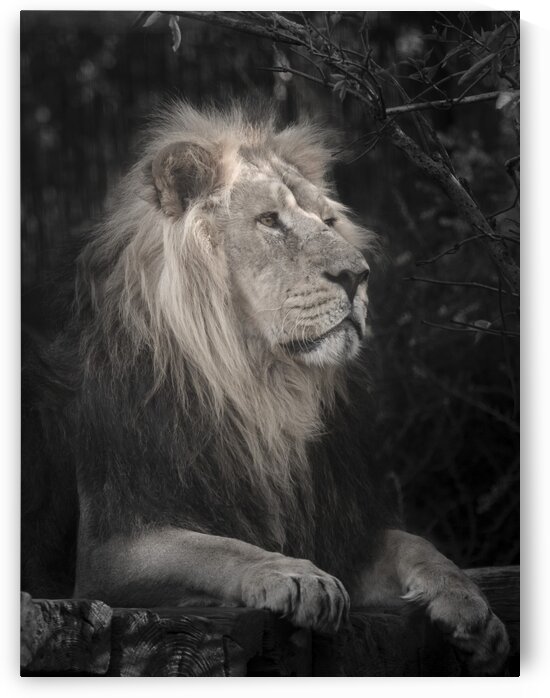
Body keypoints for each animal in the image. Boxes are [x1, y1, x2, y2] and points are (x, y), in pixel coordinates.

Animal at [21, 101, 508, 675]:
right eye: (270, 221)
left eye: (329, 221)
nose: (358, 274)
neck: (260, 394)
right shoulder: (109, 552)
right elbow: (215, 549)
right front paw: (298, 577)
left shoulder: (337, 529)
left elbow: (414, 543)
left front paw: (472, 607)